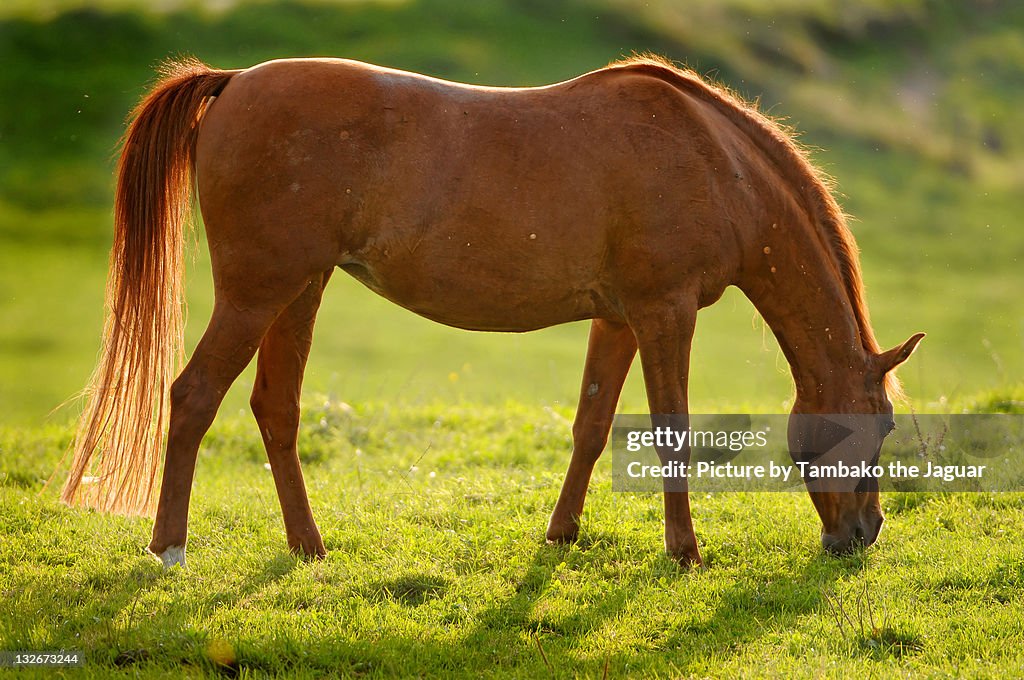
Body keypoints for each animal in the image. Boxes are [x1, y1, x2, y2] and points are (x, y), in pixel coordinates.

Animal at [64, 54, 929, 569]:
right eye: (882, 425)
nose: (863, 535)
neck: (717, 164)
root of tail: (235, 79)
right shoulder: (665, 314)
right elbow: (671, 431)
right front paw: (684, 552)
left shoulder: (619, 320)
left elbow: (591, 427)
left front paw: (562, 534)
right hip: (257, 293)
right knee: (192, 397)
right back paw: (169, 549)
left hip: (298, 292)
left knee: (275, 410)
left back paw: (309, 547)